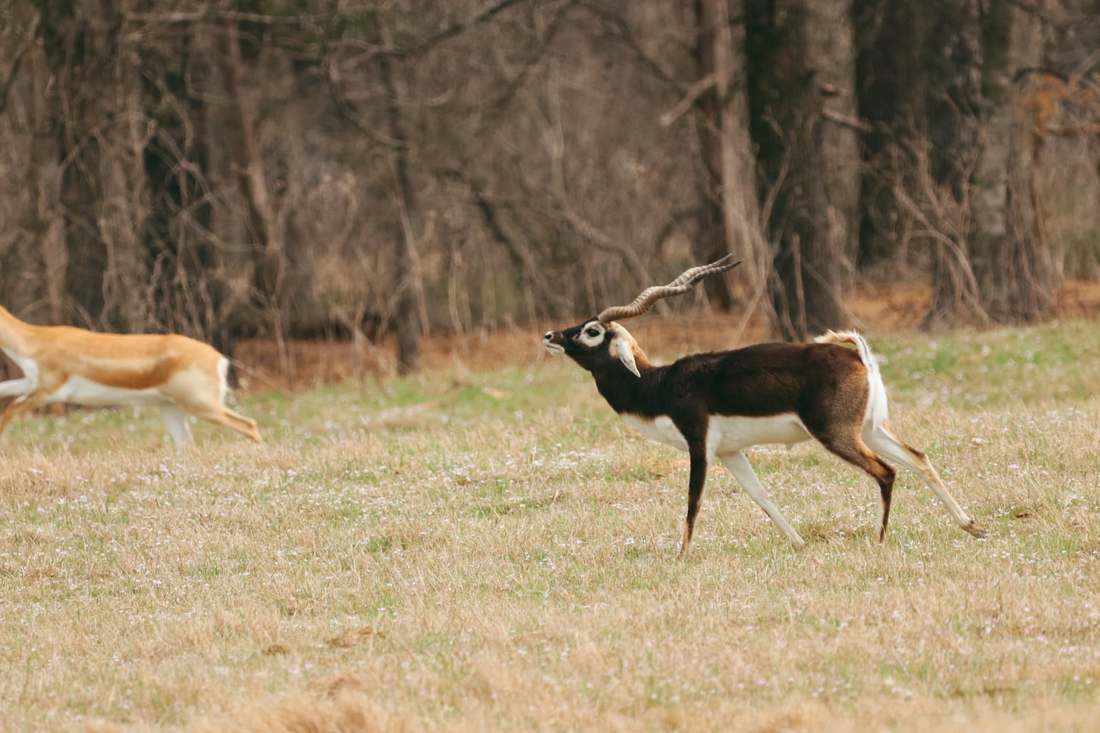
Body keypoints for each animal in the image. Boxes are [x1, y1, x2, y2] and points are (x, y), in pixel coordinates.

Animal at [0, 305, 261, 447]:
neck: (34, 342)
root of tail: (220, 359)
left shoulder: (49, 390)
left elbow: (8, 411)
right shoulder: (30, 382)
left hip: (203, 406)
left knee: (249, 424)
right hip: (171, 409)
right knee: (187, 444)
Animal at [543, 256, 985, 558]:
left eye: (591, 331)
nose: (550, 335)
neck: (659, 386)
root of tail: (859, 357)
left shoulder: (699, 444)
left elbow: (693, 502)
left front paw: (681, 556)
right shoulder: (730, 452)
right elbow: (763, 497)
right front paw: (800, 543)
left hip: (836, 434)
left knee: (887, 471)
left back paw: (879, 540)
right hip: (870, 428)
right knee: (918, 457)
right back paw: (971, 526)